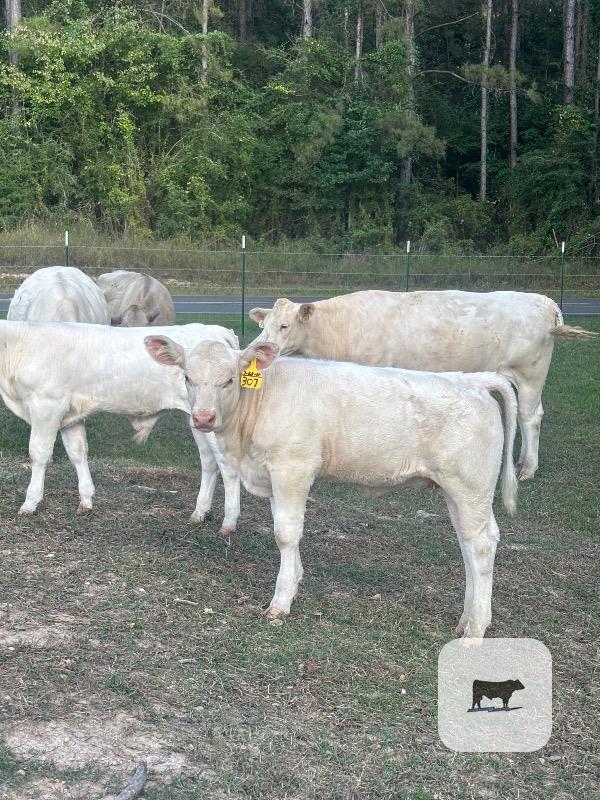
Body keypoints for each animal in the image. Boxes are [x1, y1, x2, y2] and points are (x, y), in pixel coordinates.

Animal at [0, 321, 240, 534]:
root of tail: (216, 330)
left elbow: (38, 454)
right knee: (209, 462)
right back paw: (199, 513)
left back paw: (228, 522)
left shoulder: (47, 406)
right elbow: (77, 453)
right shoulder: (70, 415)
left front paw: (30, 503)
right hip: (199, 420)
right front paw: (86, 500)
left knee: (227, 466)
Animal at [145, 336, 519, 639]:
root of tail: (471, 380)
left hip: (469, 486)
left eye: (229, 379)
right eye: (187, 377)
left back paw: (475, 628)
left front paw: (280, 602)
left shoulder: (293, 467)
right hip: (457, 491)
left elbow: (286, 533)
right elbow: (284, 528)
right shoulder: (273, 473)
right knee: (470, 543)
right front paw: (295, 581)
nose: (203, 418)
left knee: (480, 545)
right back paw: (466, 619)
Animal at [249, 290, 596, 481]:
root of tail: (544, 301)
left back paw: (528, 468)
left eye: (284, 325)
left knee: (530, 417)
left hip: (529, 374)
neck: (339, 328)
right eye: (264, 324)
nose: (257, 347)